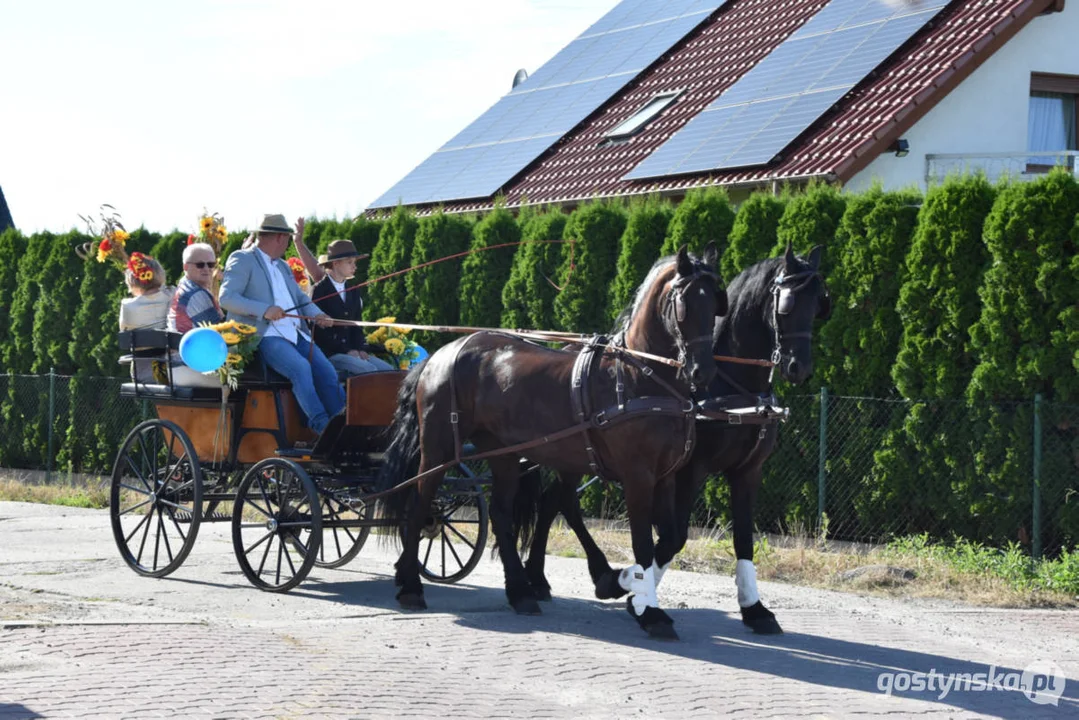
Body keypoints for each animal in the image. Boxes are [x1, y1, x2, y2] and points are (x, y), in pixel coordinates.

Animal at [377, 246, 725, 634]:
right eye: (684, 304)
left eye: (715, 302)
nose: (702, 371)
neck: (638, 376)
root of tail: (442, 353)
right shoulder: (638, 477)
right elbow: (644, 545)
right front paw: (647, 610)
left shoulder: (664, 476)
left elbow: (671, 540)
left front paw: (625, 587)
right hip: (438, 448)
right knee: (420, 502)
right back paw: (411, 585)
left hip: (503, 452)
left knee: (501, 512)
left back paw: (520, 591)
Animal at [517, 245, 828, 634]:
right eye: (786, 303)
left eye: (818, 304)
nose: (799, 367)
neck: (731, 387)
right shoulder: (689, 470)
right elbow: (672, 537)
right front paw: (635, 592)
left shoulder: (747, 472)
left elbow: (742, 538)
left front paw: (754, 608)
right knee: (562, 503)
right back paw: (595, 576)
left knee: (551, 502)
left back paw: (539, 578)